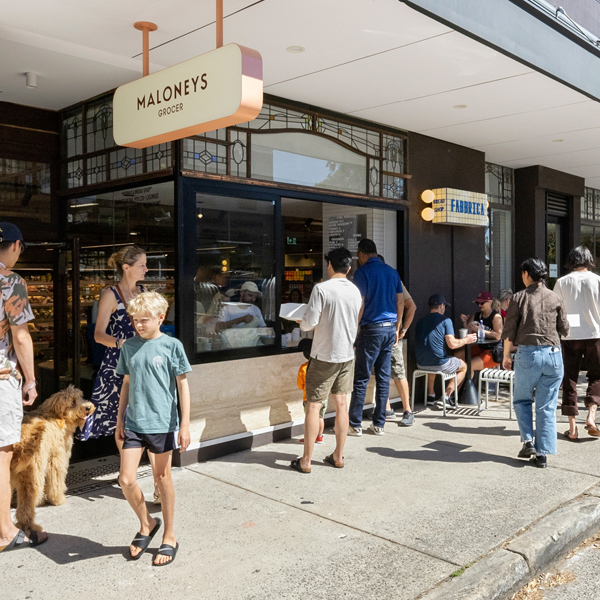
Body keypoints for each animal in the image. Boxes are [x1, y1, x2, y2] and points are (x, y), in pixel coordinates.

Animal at [10, 384, 94, 528]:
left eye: (80, 397)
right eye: (72, 402)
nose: (89, 407)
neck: (57, 418)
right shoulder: (56, 459)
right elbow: (56, 480)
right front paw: (58, 499)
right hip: (31, 473)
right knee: (27, 501)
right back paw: (27, 523)